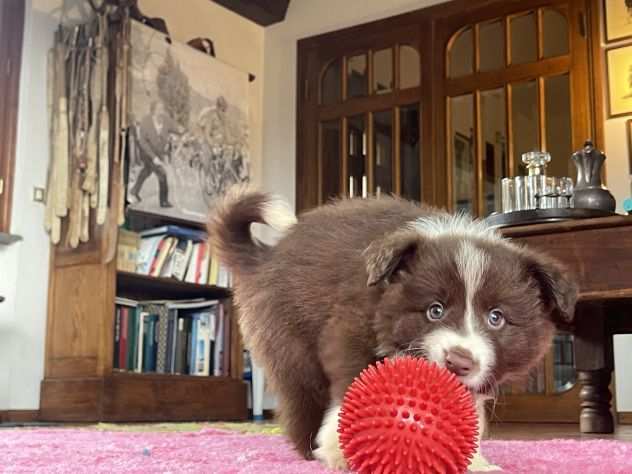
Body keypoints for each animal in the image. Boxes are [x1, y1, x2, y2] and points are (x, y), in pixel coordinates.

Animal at [207, 190, 576, 470]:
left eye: (496, 318)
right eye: (435, 310)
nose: (459, 362)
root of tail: (266, 257)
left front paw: (474, 462)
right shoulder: (350, 323)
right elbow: (352, 375)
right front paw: (339, 447)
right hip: (290, 340)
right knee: (303, 395)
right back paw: (313, 451)